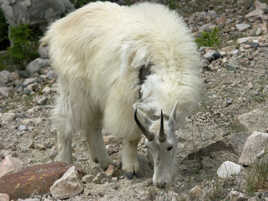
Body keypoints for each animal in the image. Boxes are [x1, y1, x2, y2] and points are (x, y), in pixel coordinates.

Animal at [40, 1, 202, 188]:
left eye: (170, 146)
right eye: (152, 146)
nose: (160, 183)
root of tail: (56, 29)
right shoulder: (126, 99)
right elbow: (132, 137)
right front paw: (131, 168)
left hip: (95, 93)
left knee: (92, 126)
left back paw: (103, 161)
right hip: (74, 87)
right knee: (64, 121)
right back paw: (65, 162)